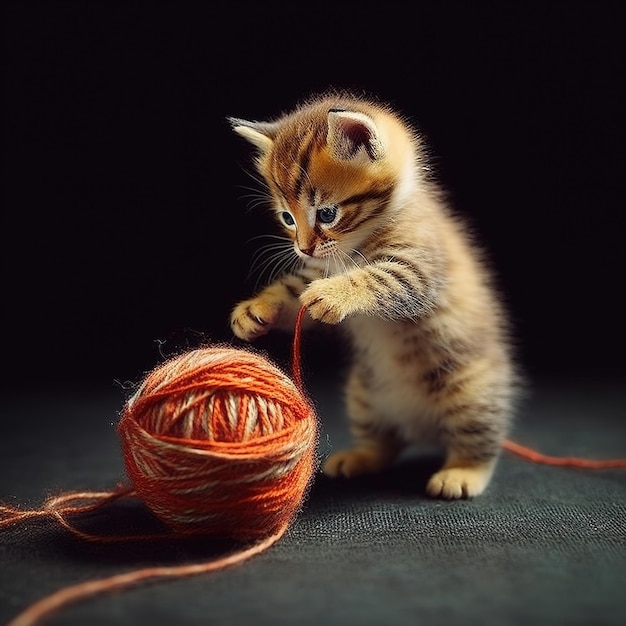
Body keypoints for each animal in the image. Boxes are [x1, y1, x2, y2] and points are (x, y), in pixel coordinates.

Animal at [227, 90, 520, 498]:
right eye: (287, 218)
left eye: (327, 214)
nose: (303, 248)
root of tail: (422, 428)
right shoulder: (317, 269)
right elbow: (290, 292)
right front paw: (255, 310)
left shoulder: (417, 266)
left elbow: (379, 279)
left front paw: (333, 295)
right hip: (364, 395)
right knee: (384, 443)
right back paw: (359, 458)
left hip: (472, 389)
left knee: (478, 439)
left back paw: (462, 472)